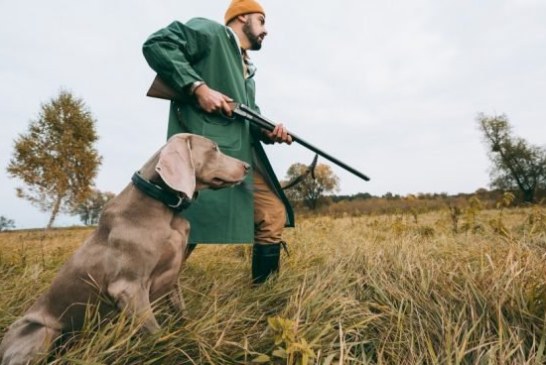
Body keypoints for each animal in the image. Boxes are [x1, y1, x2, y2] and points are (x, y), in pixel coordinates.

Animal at [0, 133, 249, 364]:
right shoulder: (129, 288)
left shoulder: (173, 279)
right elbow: (155, 333)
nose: (247, 166)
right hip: (41, 331)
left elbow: (182, 315)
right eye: (214, 149)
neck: (163, 205)